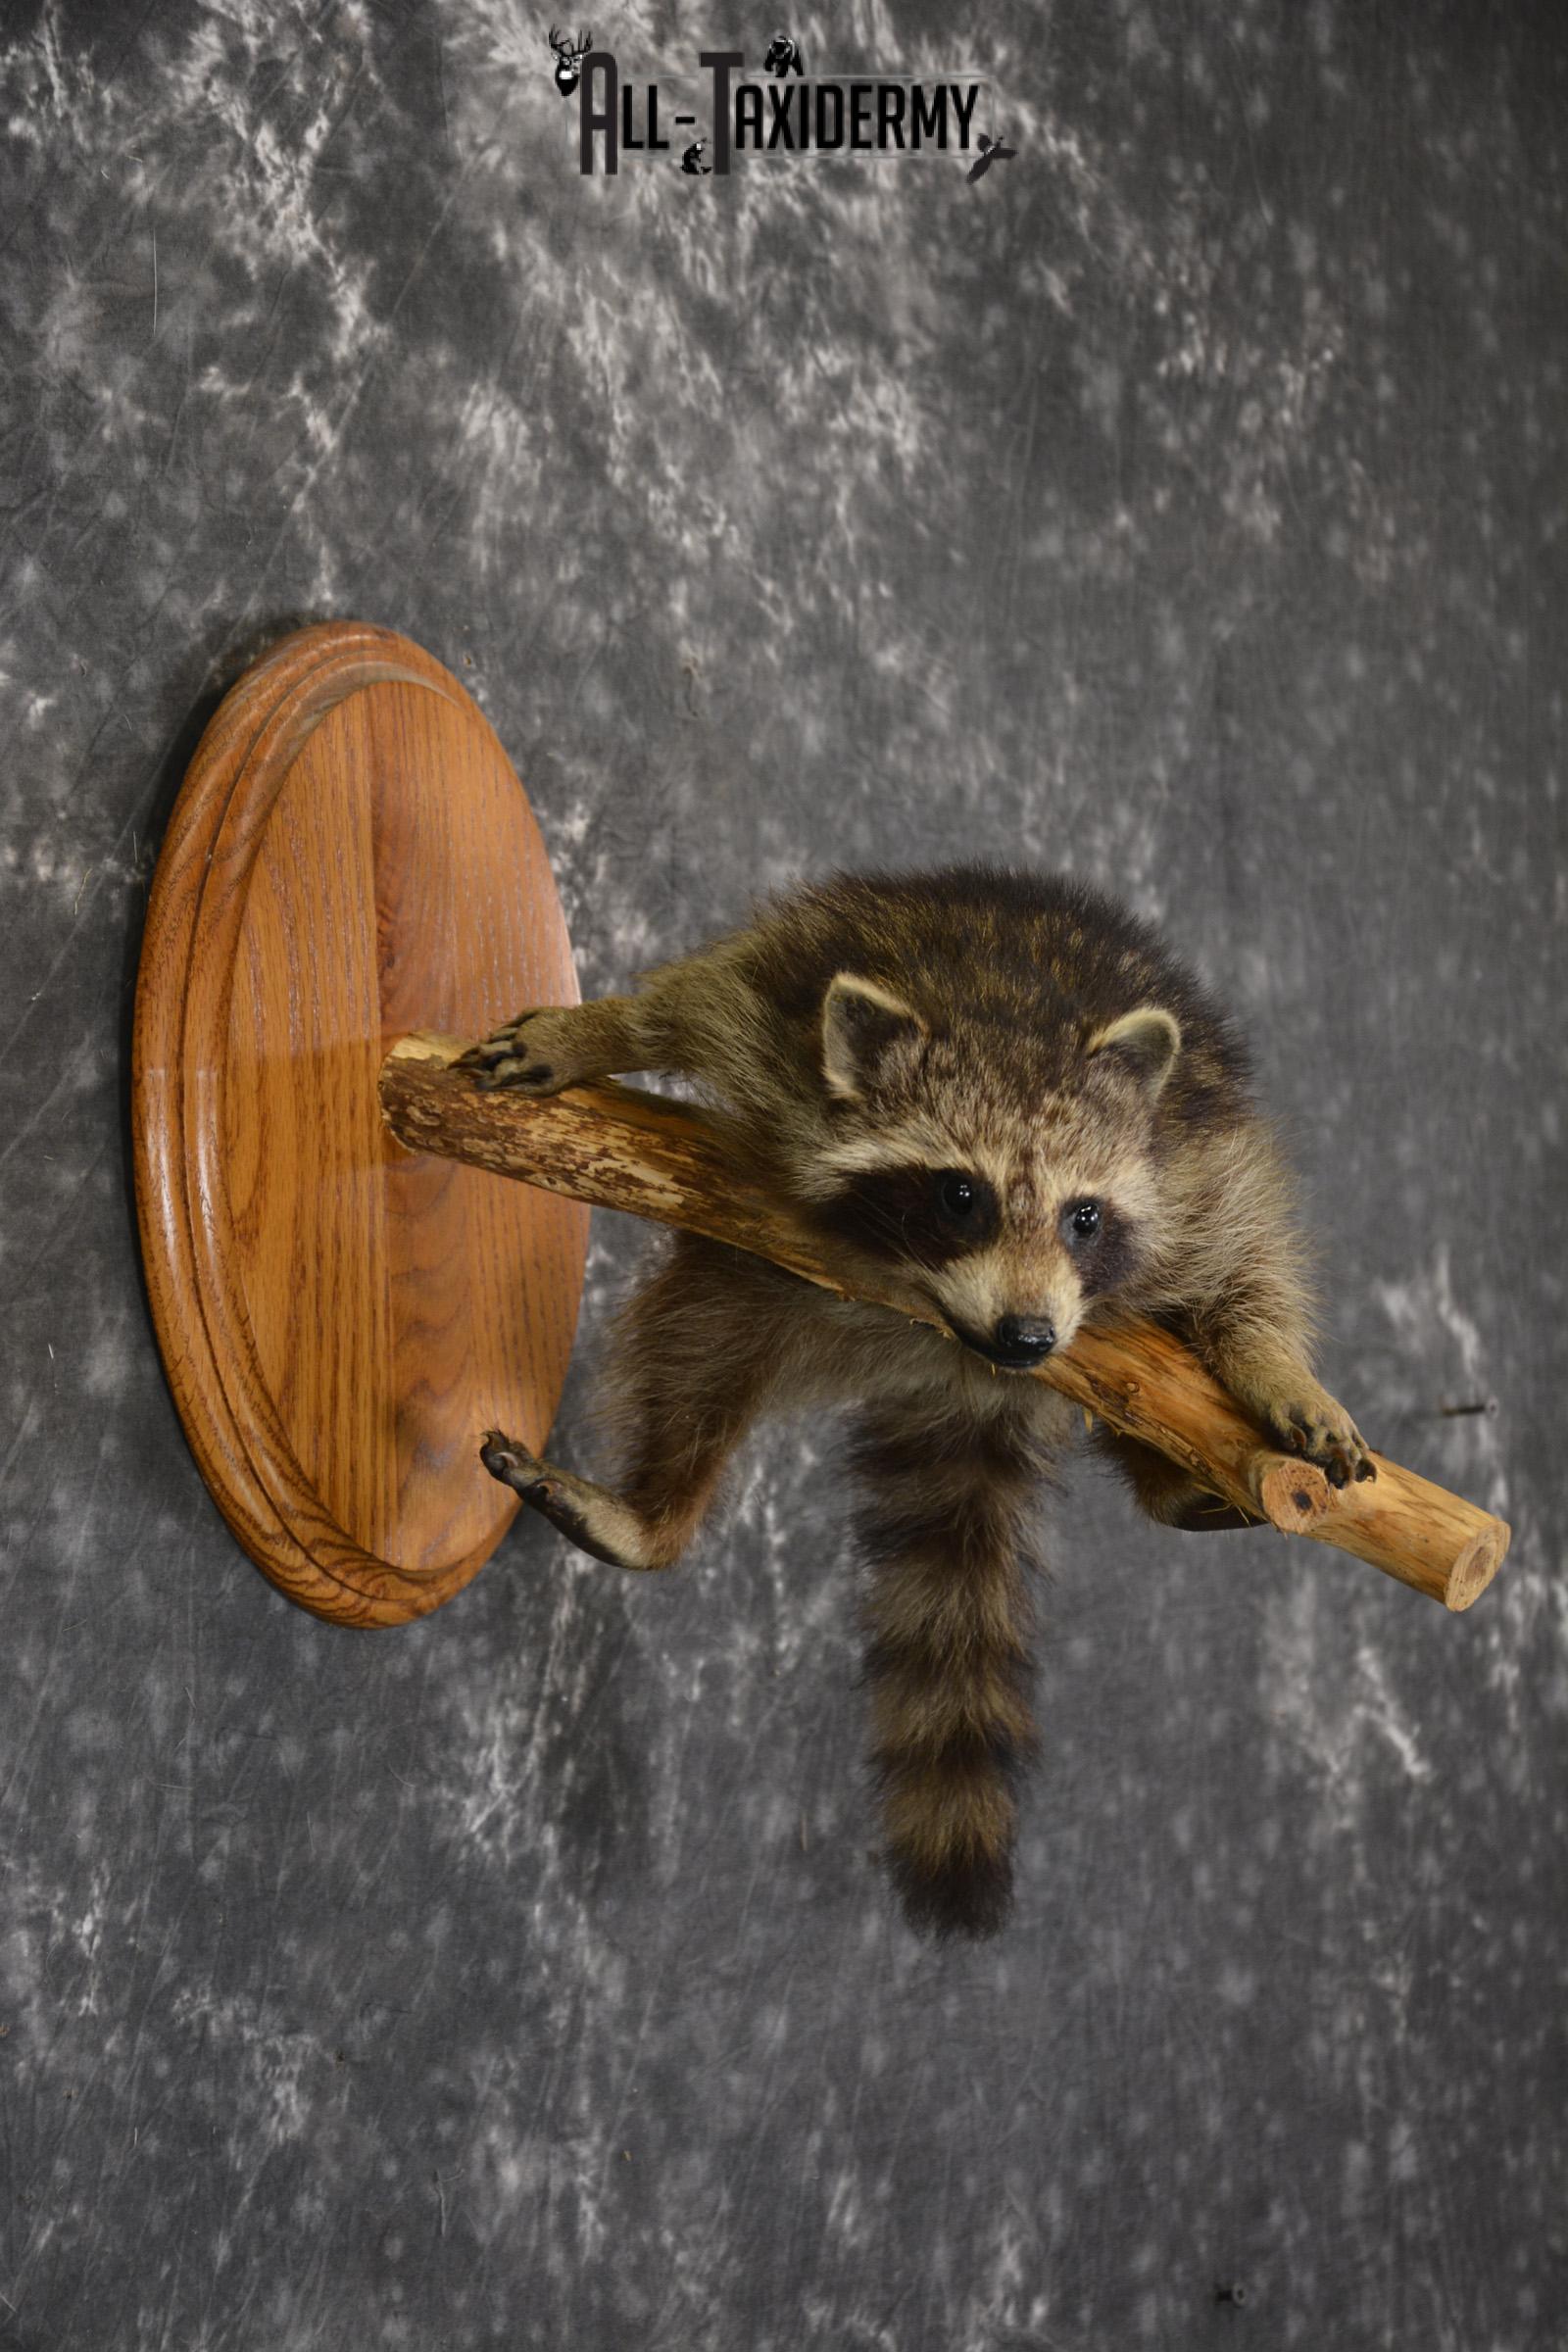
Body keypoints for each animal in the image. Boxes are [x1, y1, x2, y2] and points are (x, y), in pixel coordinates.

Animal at [467, 867, 1372, 1938]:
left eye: (1085, 1217)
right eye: (960, 1196)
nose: (1027, 1338)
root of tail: (958, 1376)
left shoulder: (1192, 1164)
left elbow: (1248, 1271)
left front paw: (1280, 1371)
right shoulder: (786, 998)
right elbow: (689, 1003)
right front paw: (595, 1029)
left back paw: (1173, 1477)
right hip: (763, 1281)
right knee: (701, 1349)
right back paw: (653, 1509)